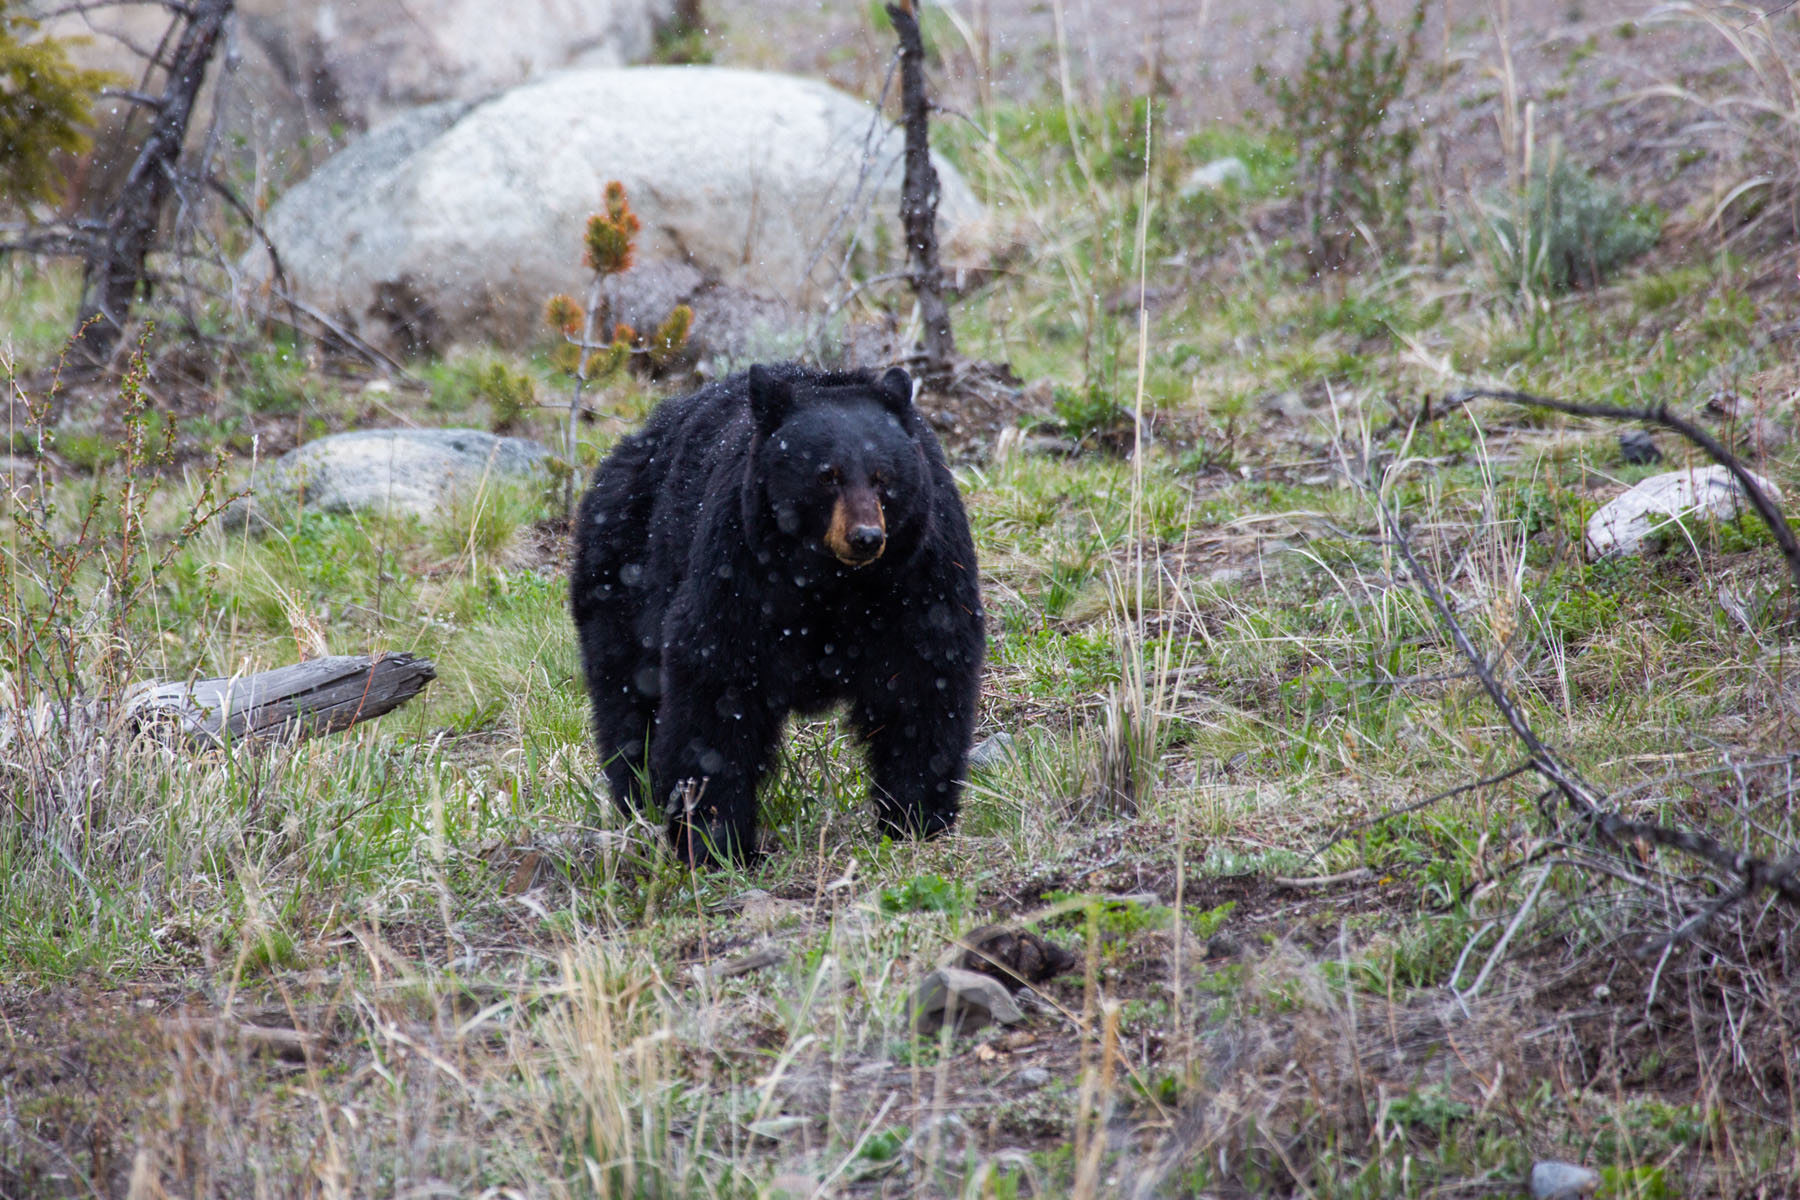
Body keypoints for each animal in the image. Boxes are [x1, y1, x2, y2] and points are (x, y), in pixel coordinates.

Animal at [568, 361, 986, 859]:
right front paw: (715, 840)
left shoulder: (922, 572)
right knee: (627, 699)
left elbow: (924, 680)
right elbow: (716, 687)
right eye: (827, 475)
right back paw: (637, 799)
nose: (866, 538)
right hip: (620, 575)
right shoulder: (741, 566)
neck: (835, 582)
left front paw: (917, 819)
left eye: (884, 476)